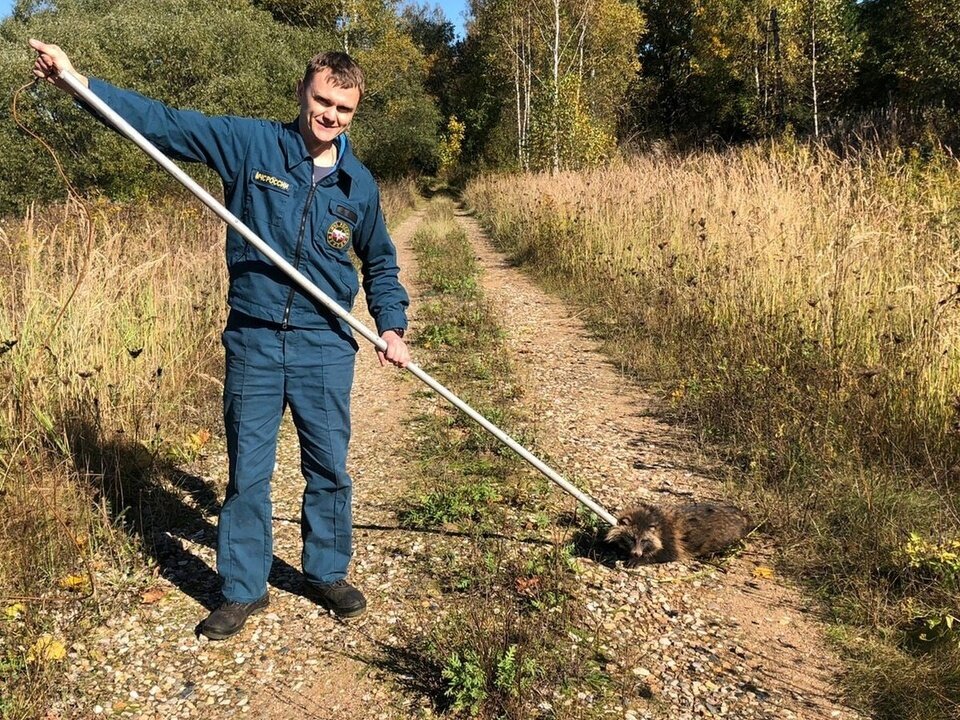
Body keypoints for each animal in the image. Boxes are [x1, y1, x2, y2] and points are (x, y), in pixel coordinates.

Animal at [608, 504, 752, 564]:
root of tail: (742, 515)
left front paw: (642, 559)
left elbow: (669, 554)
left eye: (644, 541)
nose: (636, 553)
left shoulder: (671, 538)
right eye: (631, 538)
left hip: (729, 535)